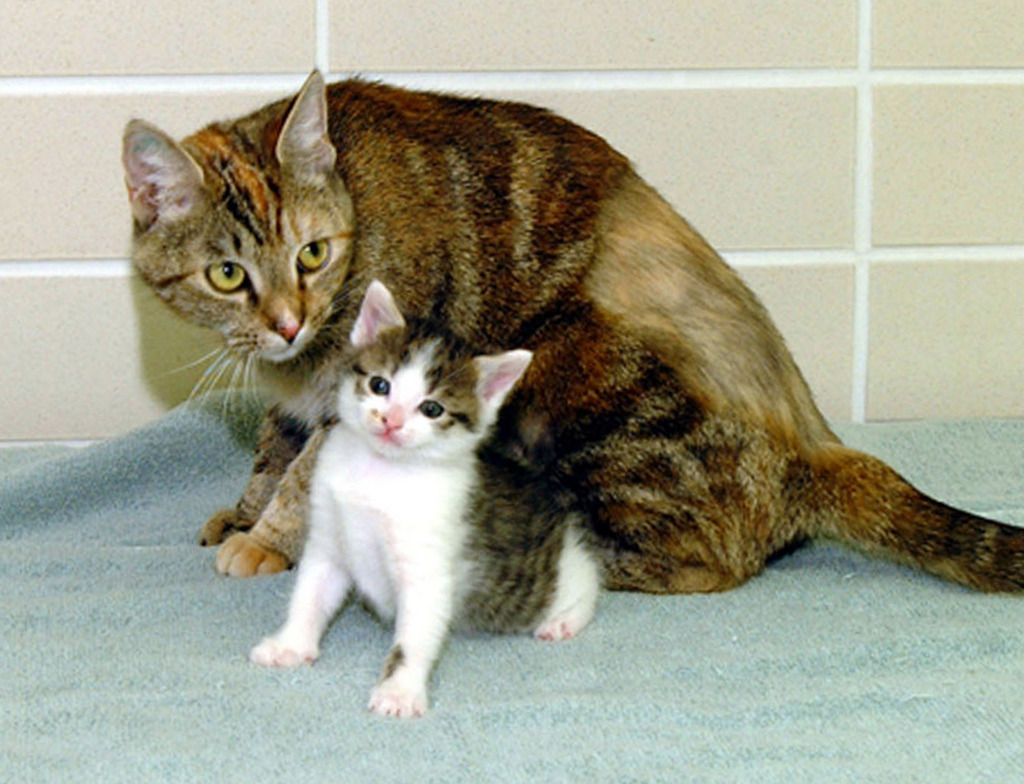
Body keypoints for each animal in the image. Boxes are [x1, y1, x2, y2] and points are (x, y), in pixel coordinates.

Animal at [123, 70, 1024, 593]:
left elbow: (307, 470)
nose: (287, 320)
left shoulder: (375, 378)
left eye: (311, 253)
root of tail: (821, 446)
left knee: (708, 562)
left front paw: (269, 538)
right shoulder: (299, 393)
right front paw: (245, 512)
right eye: (228, 275)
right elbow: (274, 448)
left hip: (571, 370)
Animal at [249, 282, 598, 720]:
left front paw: (399, 690)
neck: (379, 475)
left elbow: (413, 638)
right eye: (380, 385)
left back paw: (564, 620)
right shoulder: (328, 540)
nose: (392, 420)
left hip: (551, 577)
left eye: (432, 408)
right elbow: (310, 596)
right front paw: (291, 646)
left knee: (589, 581)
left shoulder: (427, 570)